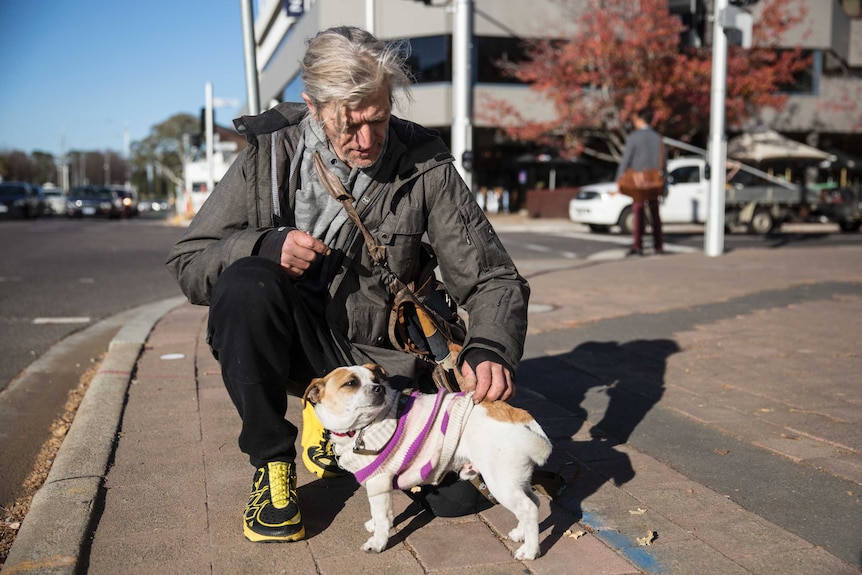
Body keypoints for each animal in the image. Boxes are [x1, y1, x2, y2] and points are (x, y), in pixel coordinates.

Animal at [304, 364, 552, 560]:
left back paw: (530, 551)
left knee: (528, 508)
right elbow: (381, 512)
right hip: (516, 479)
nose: (378, 388)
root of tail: (519, 415)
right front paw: (375, 525)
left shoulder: (378, 481)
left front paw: (377, 542)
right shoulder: (380, 486)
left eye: (376, 380)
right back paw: (521, 534)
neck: (362, 428)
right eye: (351, 383)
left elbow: (382, 516)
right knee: (534, 502)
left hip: (501, 482)